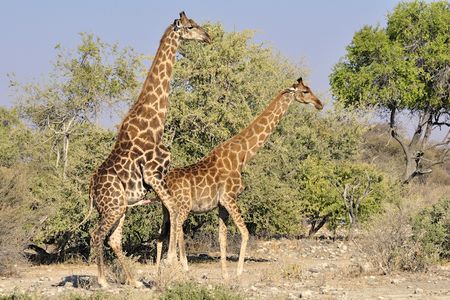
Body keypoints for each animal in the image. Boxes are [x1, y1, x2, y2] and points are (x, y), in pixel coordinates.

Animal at [87, 12, 211, 288]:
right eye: (190, 26)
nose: (208, 36)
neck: (155, 125)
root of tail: (90, 189)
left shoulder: (159, 178)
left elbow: (172, 214)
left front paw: (174, 263)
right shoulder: (153, 174)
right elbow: (174, 210)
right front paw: (173, 262)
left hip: (121, 206)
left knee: (113, 238)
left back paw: (134, 281)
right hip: (112, 206)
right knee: (97, 232)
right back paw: (103, 281)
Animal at [155, 77, 324, 276]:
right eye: (305, 91)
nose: (319, 104)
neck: (242, 156)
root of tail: (164, 181)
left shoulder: (221, 204)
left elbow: (222, 237)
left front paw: (225, 274)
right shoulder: (230, 197)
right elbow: (245, 232)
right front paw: (239, 272)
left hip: (166, 209)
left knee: (161, 235)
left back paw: (159, 271)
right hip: (182, 207)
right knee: (176, 232)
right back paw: (179, 267)